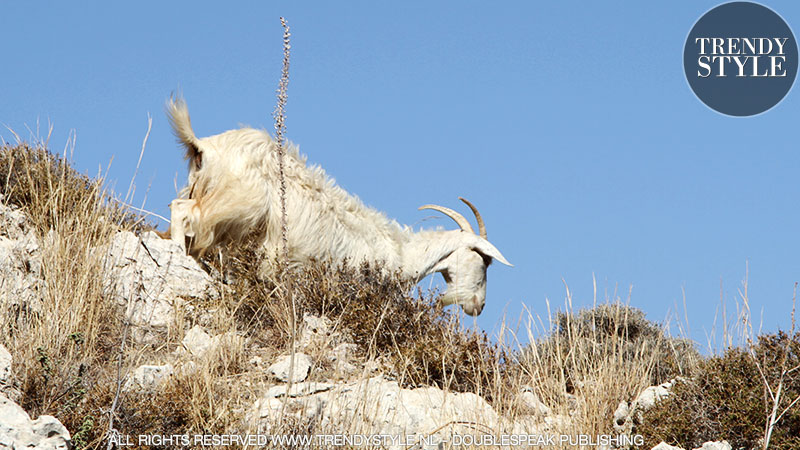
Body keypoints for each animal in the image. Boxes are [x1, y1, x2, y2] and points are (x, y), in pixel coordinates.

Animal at [166, 97, 512, 316]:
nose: (478, 306)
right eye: (483, 262)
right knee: (183, 210)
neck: (400, 255)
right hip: (236, 203)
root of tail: (204, 146)